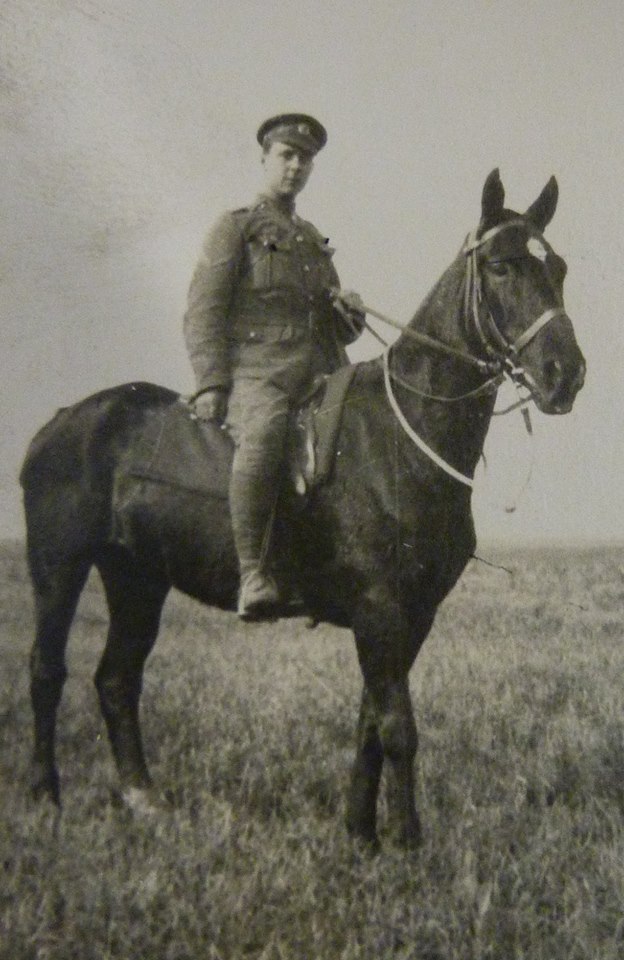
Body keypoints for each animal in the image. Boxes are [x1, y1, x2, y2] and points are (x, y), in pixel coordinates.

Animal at [19, 172, 584, 848]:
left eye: (559, 267)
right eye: (500, 266)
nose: (565, 375)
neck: (402, 433)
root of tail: (62, 420)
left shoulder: (410, 615)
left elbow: (371, 726)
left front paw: (361, 833)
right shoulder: (381, 610)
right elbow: (399, 729)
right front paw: (409, 843)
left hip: (137, 577)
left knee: (116, 679)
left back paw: (143, 797)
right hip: (59, 566)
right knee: (47, 671)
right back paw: (45, 796)